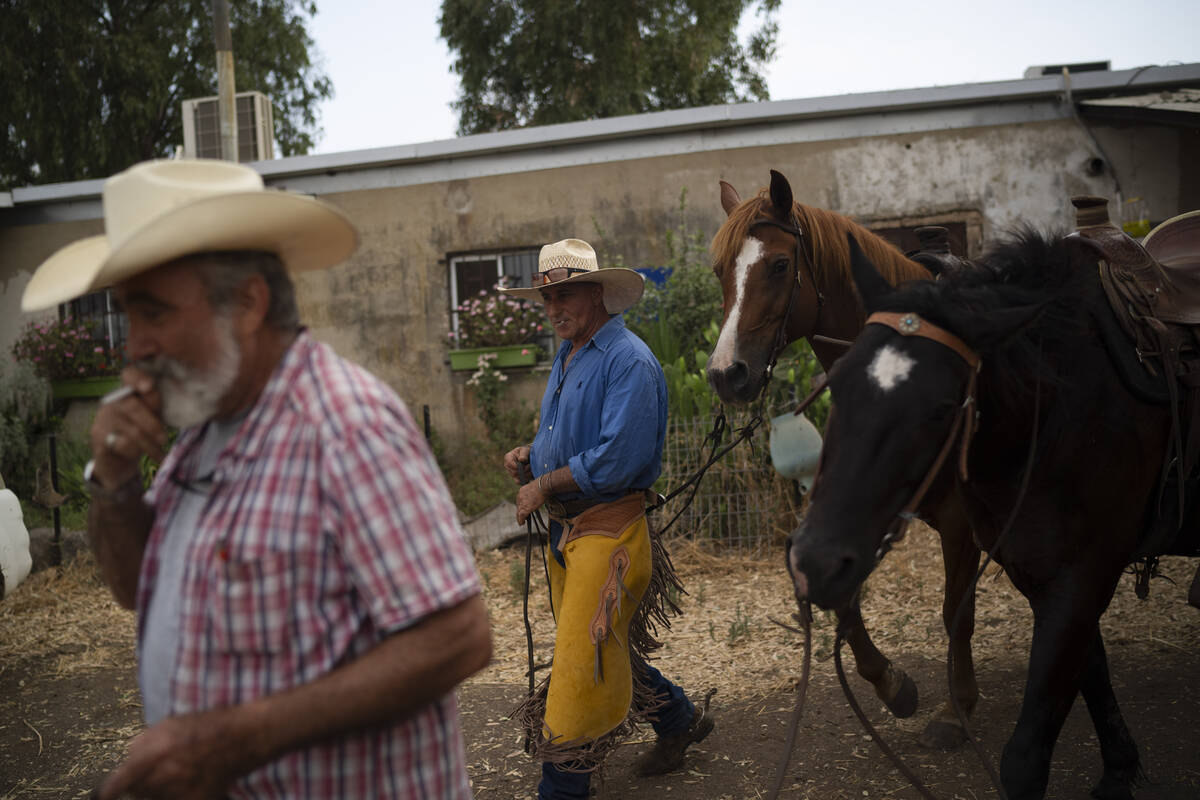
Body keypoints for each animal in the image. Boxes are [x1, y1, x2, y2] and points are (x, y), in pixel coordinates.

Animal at [705, 170, 979, 753]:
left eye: (779, 265)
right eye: (719, 271)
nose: (724, 374)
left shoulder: (960, 522)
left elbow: (956, 613)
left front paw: (957, 707)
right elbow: (842, 601)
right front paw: (892, 684)